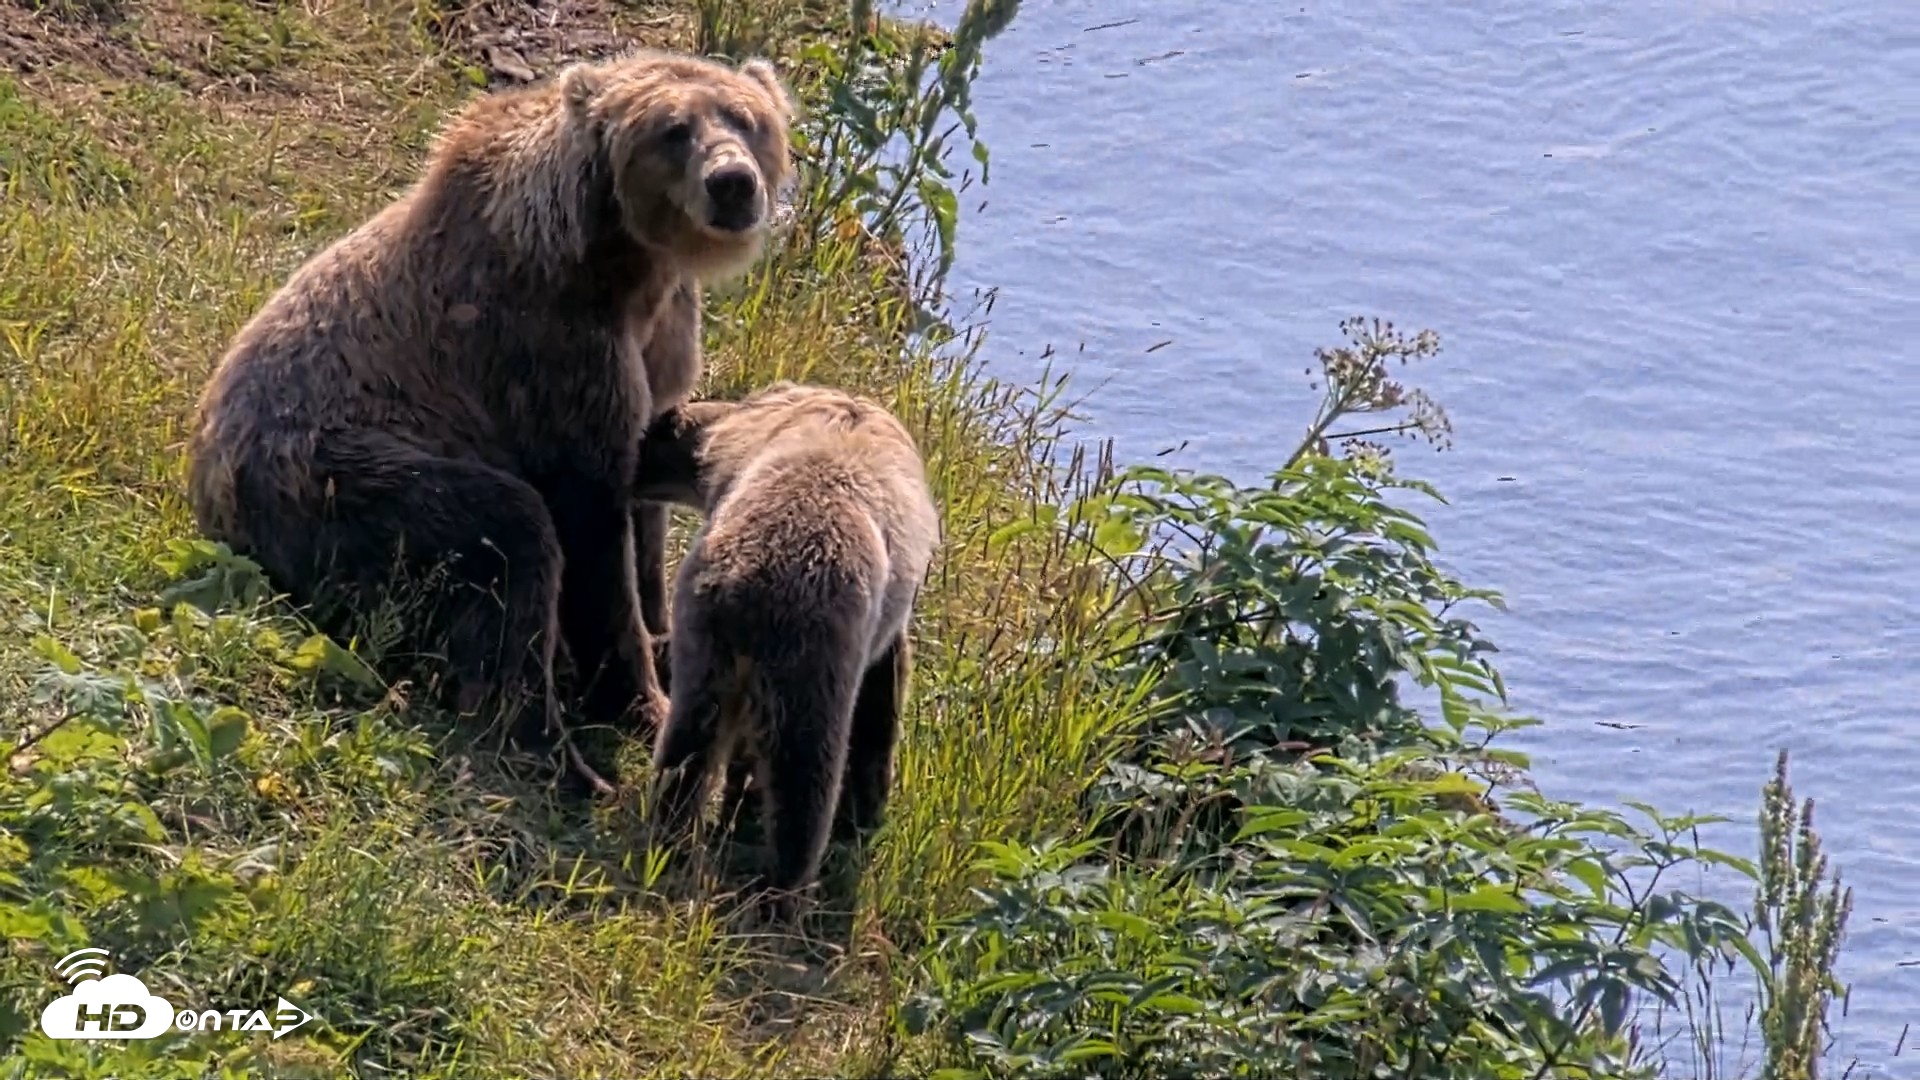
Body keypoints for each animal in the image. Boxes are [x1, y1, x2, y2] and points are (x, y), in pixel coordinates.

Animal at [183, 49, 797, 781]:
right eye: (673, 130)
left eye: (746, 118)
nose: (733, 183)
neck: (629, 259)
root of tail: (210, 498)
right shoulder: (548, 347)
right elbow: (591, 523)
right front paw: (638, 701)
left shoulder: (661, 348)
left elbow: (648, 500)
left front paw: (663, 640)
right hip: (330, 482)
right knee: (506, 533)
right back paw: (560, 755)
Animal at [631, 382, 941, 917]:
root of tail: (751, 585)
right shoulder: (880, 631)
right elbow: (881, 705)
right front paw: (866, 811)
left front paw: (739, 801)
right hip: (815, 654)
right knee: (806, 776)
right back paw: (787, 890)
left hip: (708, 640)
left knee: (688, 744)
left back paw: (672, 838)